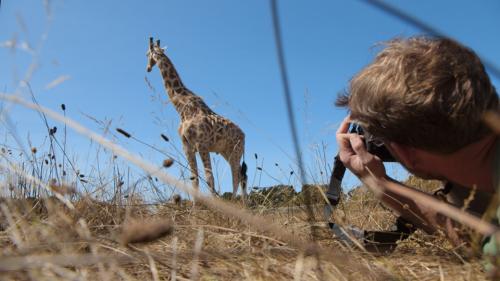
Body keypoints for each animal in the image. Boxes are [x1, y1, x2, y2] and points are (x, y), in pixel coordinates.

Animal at [145, 36, 248, 199]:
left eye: (146, 54)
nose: (148, 68)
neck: (182, 108)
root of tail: (244, 135)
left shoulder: (202, 144)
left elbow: (209, 178)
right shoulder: (187, 146)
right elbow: (194, 179)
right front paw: (195, 206)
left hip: (235, 151)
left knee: (236, 177)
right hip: (226, 151)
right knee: (242, 176)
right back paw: (245, 203)